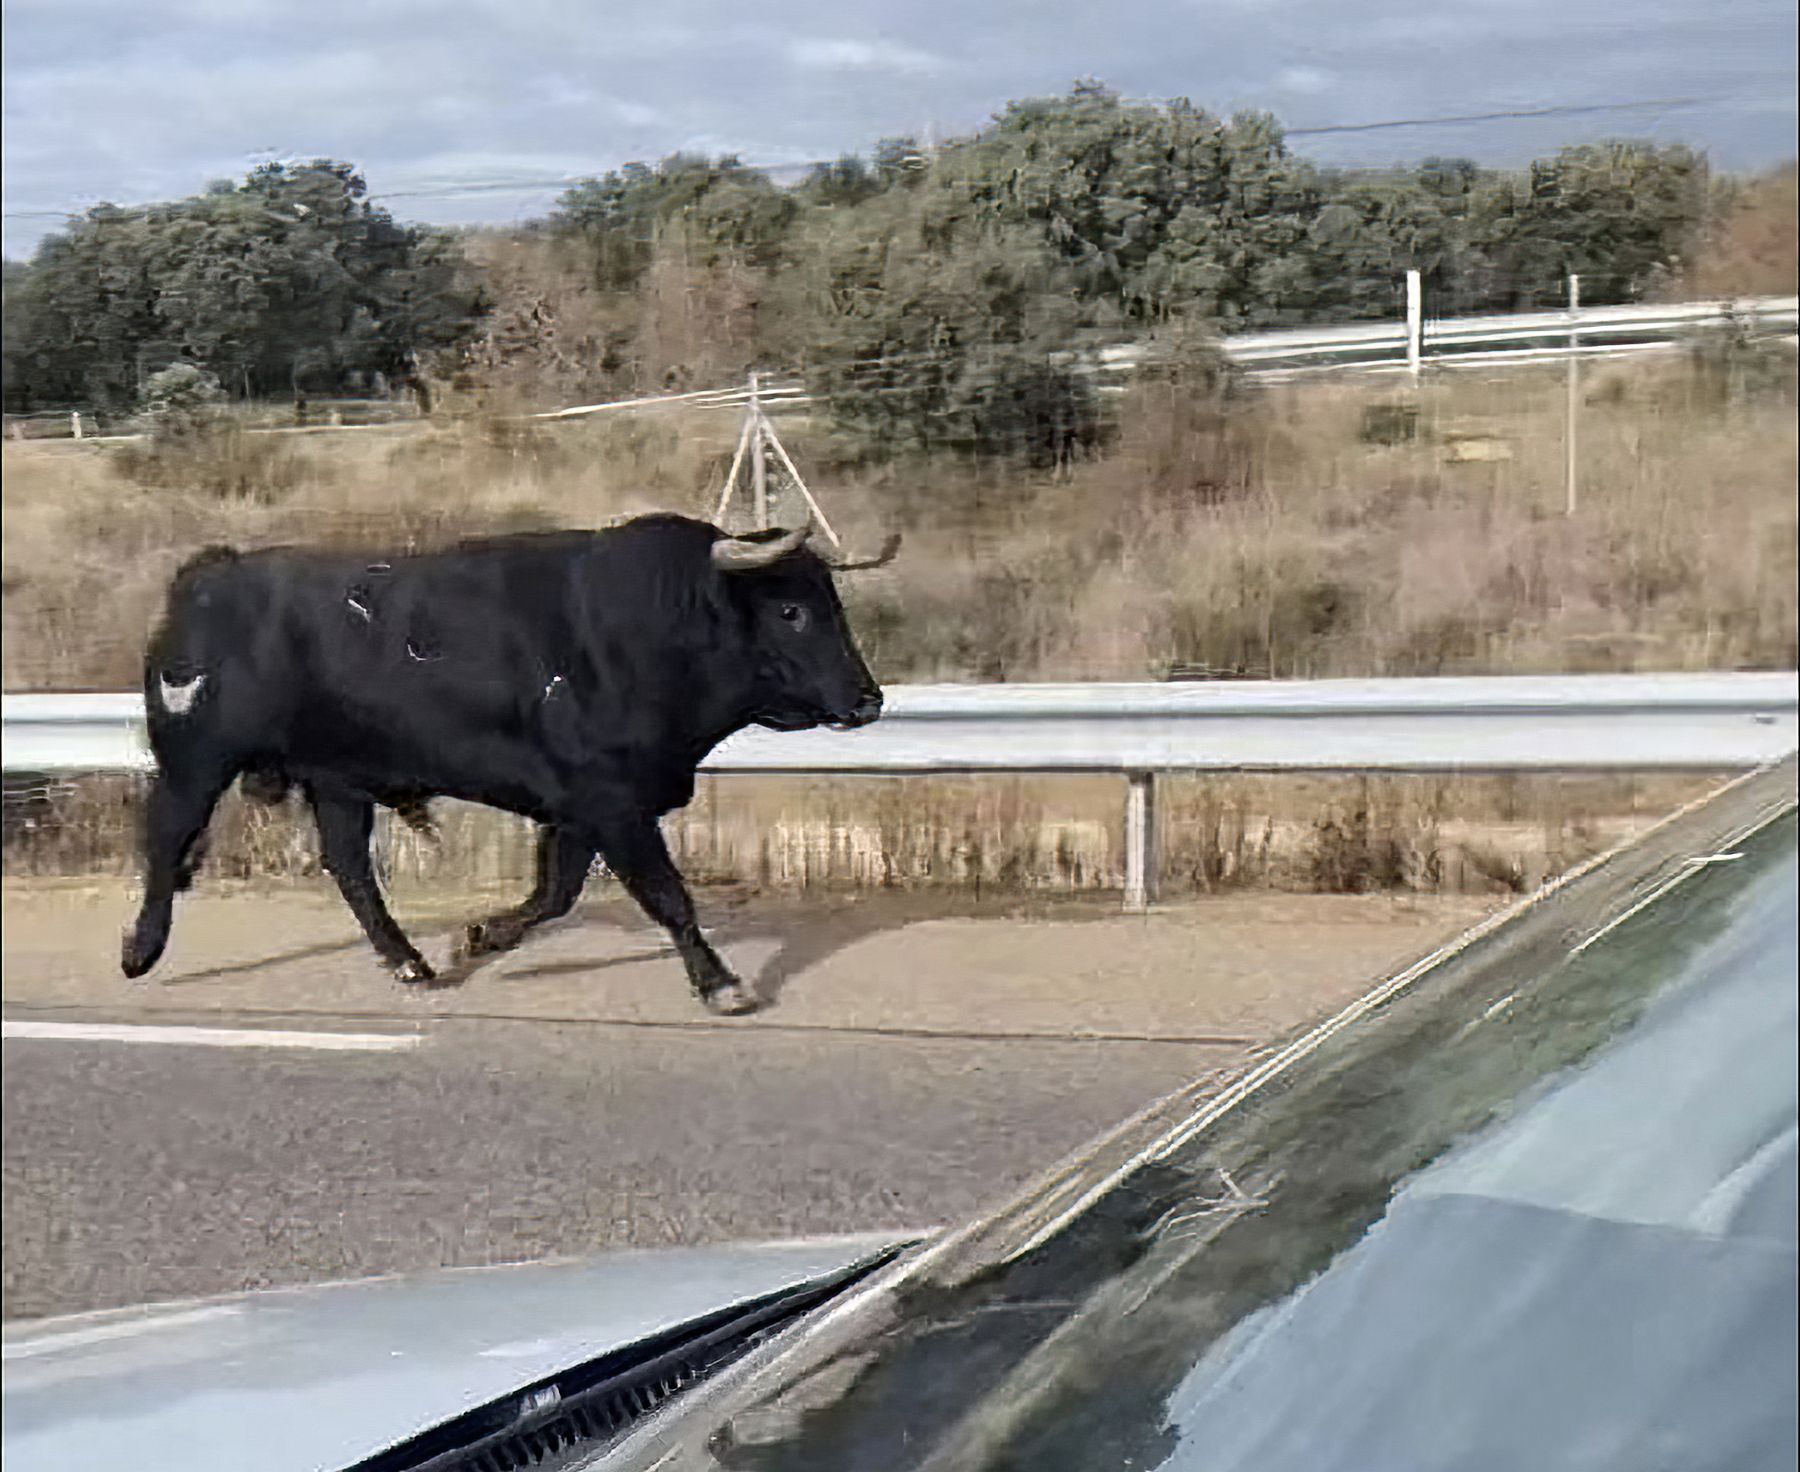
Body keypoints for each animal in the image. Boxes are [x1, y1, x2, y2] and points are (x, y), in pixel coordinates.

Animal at [119, 514, 892, 1007]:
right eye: (791, 611)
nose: (867, 700)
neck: (641, 629)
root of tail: (211, 572)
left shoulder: (582, 808)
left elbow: (555, 892)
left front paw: (483, 936)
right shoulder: (611, 801)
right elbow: (666, 895)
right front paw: (719, 983)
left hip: (338, 780)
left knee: (350, 868)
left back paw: (409, 963)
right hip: (196, 761)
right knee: (166, 838)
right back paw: (140, 950)